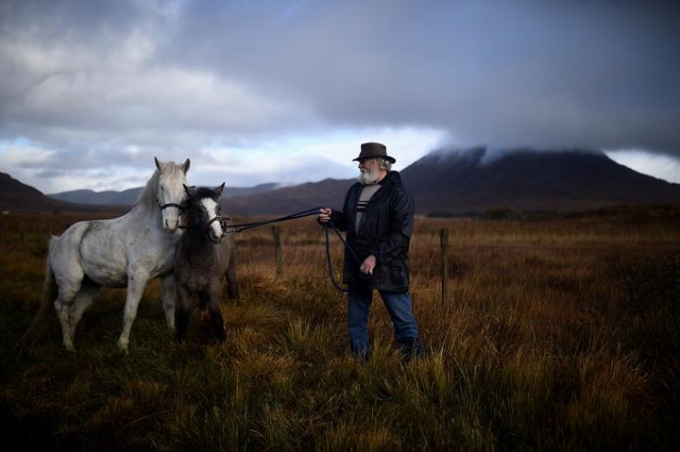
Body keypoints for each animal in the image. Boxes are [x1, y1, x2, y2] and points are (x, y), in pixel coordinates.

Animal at [22, 157, 190, 352]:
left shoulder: (168, 275)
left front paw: (172, 334)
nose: (171, 224)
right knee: (60, 308)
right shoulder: (138, 276)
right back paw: (68, 346)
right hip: (70, 284)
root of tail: (59, 240)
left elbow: (169, 306)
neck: (157, 234)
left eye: (184, 186)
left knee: (74, 313)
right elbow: (130, 311)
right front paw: (122, 346)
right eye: (161, 187)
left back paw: (73, 346)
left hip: (90, 285)